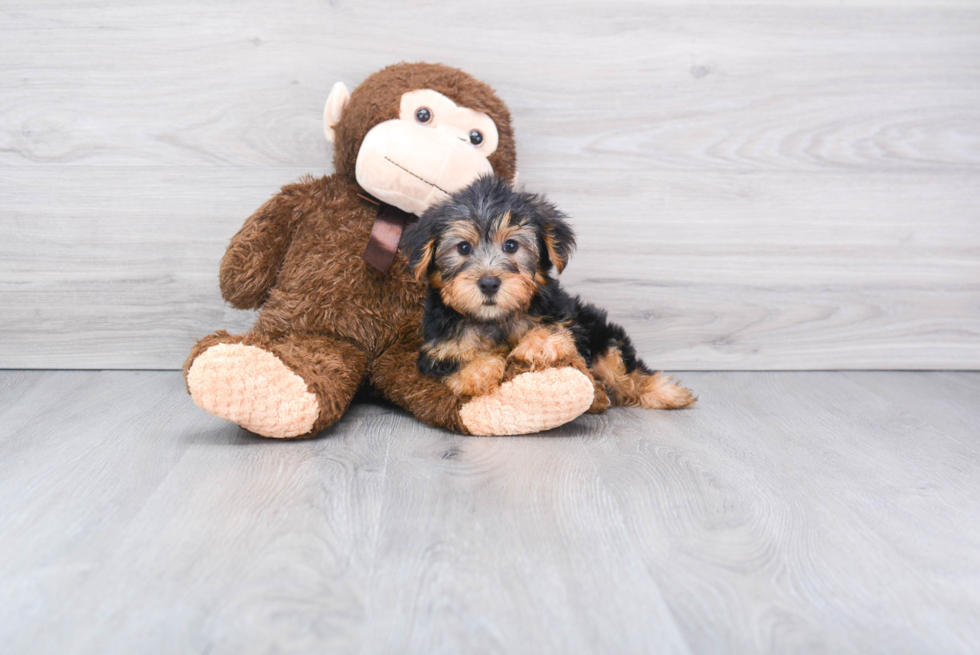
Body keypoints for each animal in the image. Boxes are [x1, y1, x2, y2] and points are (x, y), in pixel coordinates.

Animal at [402, 174, 692, 410]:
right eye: (463, 248)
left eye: (511, 245)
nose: (489, 283)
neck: (495, 319)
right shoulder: (437, 351)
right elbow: (458, 364)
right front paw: (480, 371)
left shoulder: (567, 317)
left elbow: (555, 329)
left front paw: (536, 345)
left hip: (600, 331)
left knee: (620, 368)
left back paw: (665, 392)